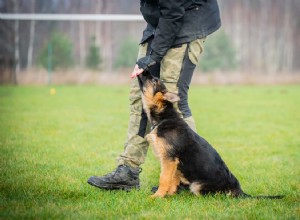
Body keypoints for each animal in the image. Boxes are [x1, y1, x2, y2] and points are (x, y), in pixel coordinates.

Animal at [137, 71, 282, 199]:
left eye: (154, 81)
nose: (144, 70)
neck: (164, 117)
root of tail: (238, 190)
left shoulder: (169, 159)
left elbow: (164, 179)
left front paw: (157, 196)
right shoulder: (174, 163)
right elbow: (173, 180)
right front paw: (170, 195)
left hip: (197, 185)